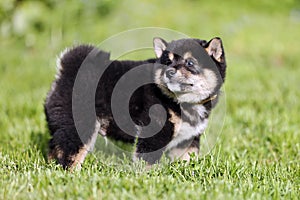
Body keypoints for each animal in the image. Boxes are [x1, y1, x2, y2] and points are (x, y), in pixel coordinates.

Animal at [44, 36, 226, 169]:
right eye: (167, 62)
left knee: (55, 148)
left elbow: (187, 160)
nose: (169, 71)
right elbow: (148, 162)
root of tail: (66, 70)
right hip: (80, 124)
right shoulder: (154, 134)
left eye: (190, 62)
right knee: (69, 155)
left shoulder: (186, 140)